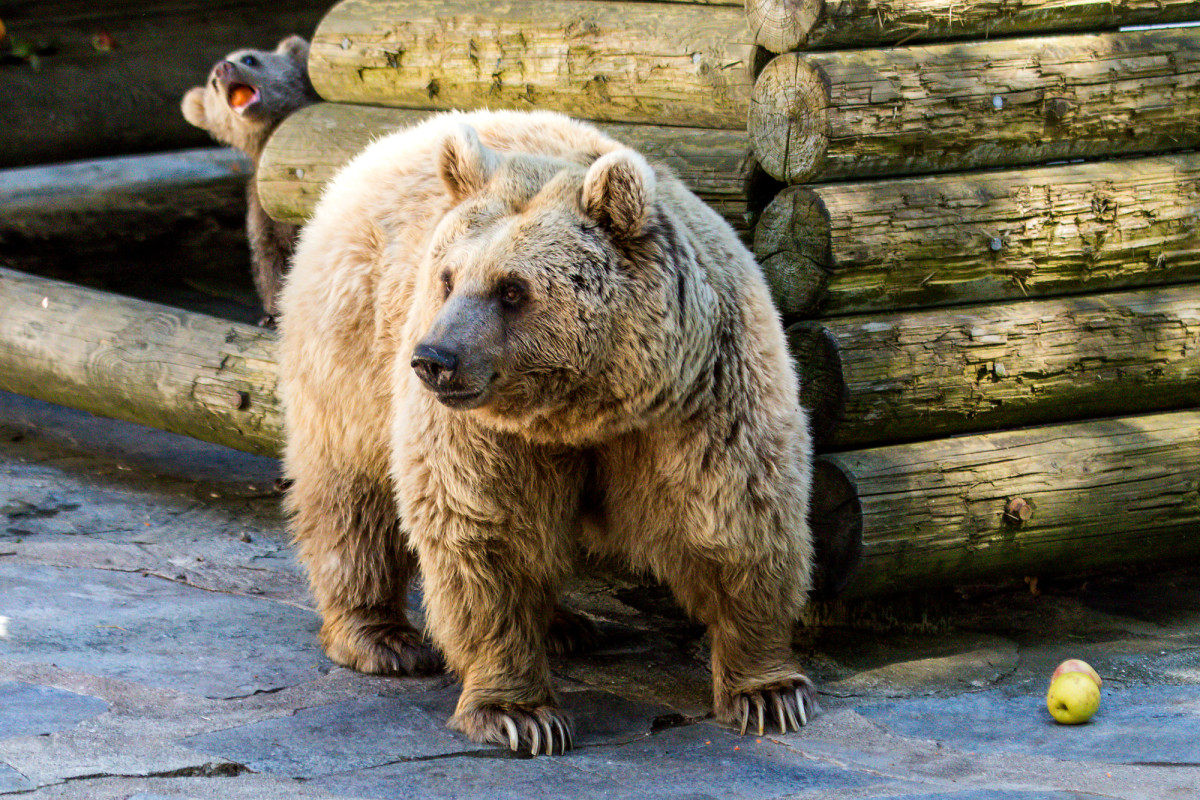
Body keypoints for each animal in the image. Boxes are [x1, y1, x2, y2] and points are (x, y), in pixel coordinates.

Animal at [178, 36, 319, 326]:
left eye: (250, 58)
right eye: (212, 82)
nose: (223, 67)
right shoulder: (264, 208)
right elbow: (269, 256)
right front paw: (272, 315)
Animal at [274, 107, 816, 758]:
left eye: (512, 289)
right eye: (448, 277)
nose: (434, 359)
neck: (590, 406)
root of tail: (391, 141)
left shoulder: (702, 398)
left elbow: (736, 516)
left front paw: (770, 691)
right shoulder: (484, 430)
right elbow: (488, 533)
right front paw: (519, 713)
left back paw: (563, 626)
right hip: (353, 346)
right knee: (352, 495)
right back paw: (382, 637)